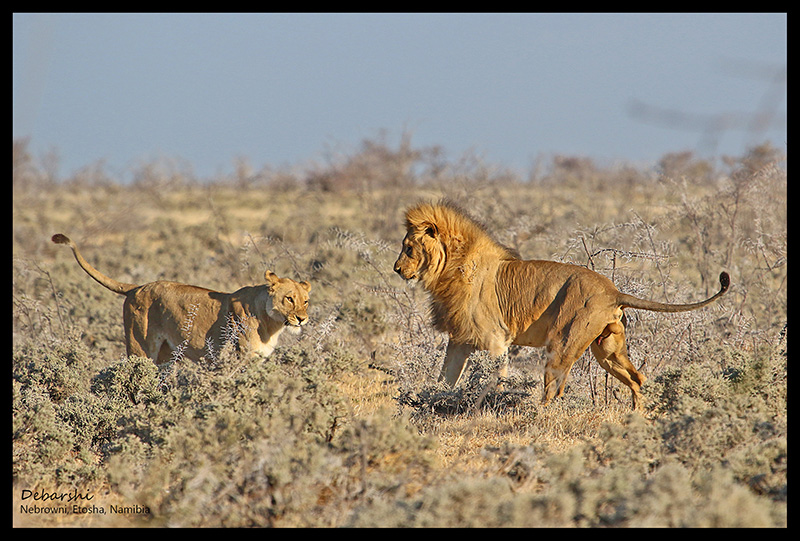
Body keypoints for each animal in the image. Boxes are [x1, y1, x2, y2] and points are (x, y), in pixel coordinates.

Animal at [51, 232, 310, 362]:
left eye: (305, 301)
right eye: (289, 299)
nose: (302, 319)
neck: (271, 325)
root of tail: (137, 286)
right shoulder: (242, 356)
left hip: (166, 355)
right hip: (139, 347)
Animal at [394, 202, 732, 410]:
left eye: (408, 248)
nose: (397, 269)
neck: (450, 266)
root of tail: (614, 291)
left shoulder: (495, 340)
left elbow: (493, 378)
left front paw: (484, 406)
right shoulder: (460, 340)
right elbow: (446, 378)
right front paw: (434, 399)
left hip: (563, 343)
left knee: (553, 389)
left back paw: (536, 417)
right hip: (607, 348)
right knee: (637, 378)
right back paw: (635, 418)